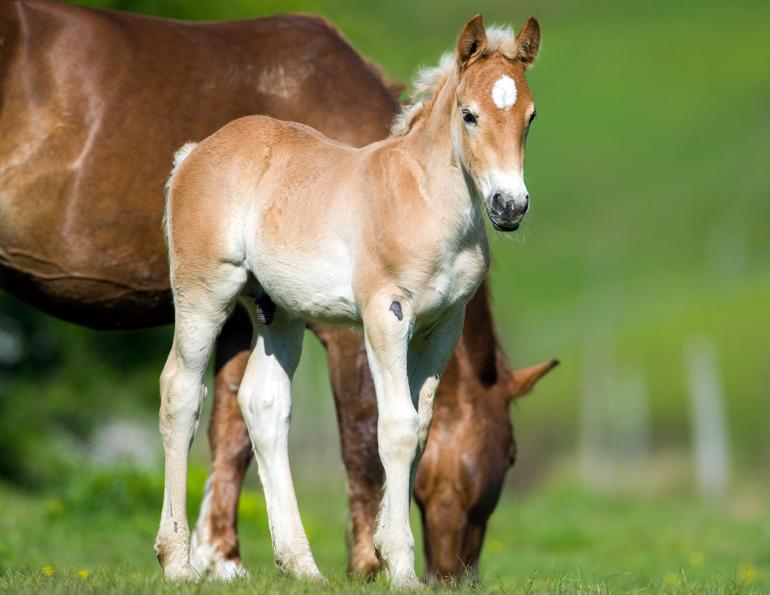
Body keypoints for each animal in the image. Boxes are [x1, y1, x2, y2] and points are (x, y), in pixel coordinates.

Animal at [160, 14, 542, 588]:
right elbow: (395, 428)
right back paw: (177, 562)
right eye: (469, 114)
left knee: (263, 404)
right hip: (204, 293)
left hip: (279, 312)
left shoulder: (442, 327)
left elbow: (421, 429)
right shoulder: (386, 315)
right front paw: (400, 567)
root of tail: (193, 154)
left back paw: (301, 566)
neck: (426, 200)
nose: (509, 206)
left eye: (530, 117)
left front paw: (386, 555)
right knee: (181, 393)